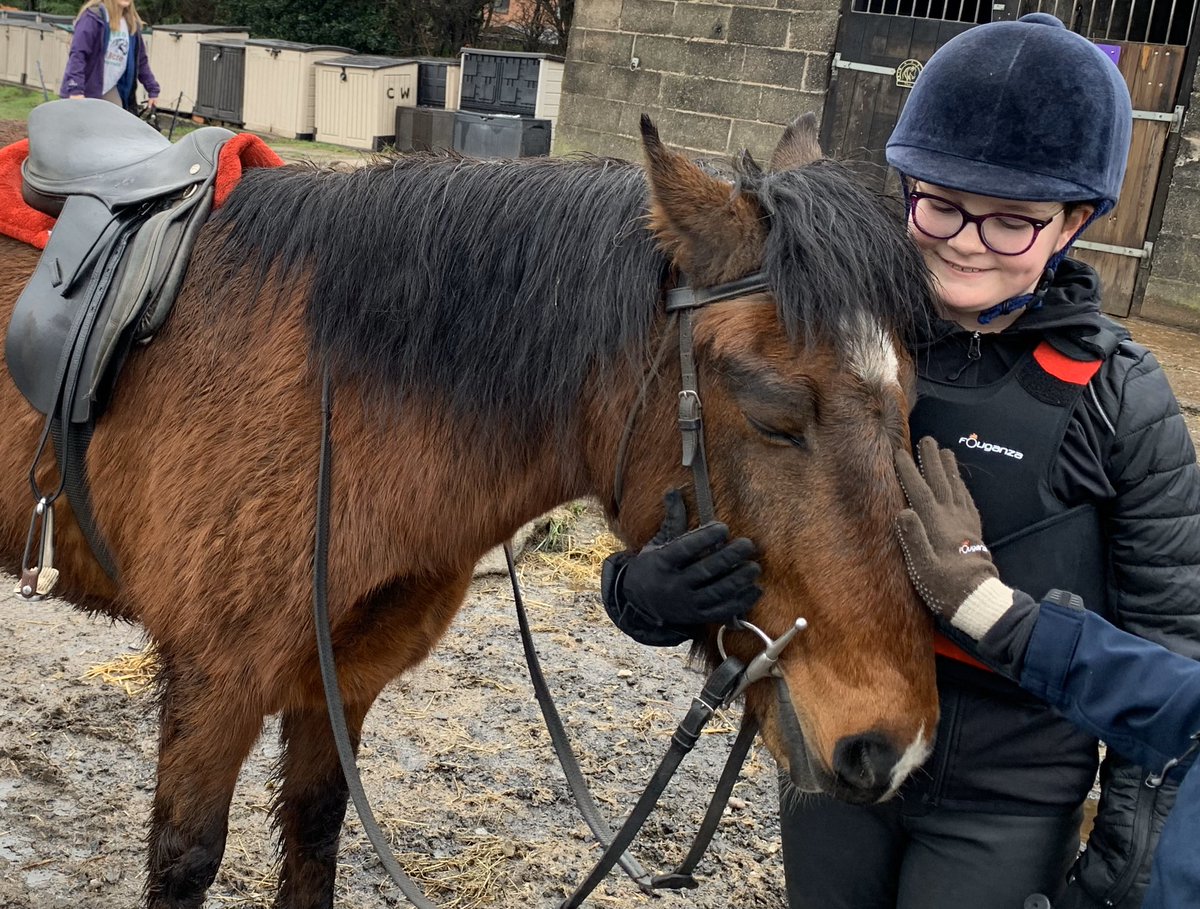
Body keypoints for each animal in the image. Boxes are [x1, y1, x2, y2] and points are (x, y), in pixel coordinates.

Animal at [0, 113, 941, 908]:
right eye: (777, 413)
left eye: (910, 403)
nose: (892, 745)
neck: (336, 390)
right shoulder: (213, 679)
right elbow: (186, 859)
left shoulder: (344, 676)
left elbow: (314, 830)